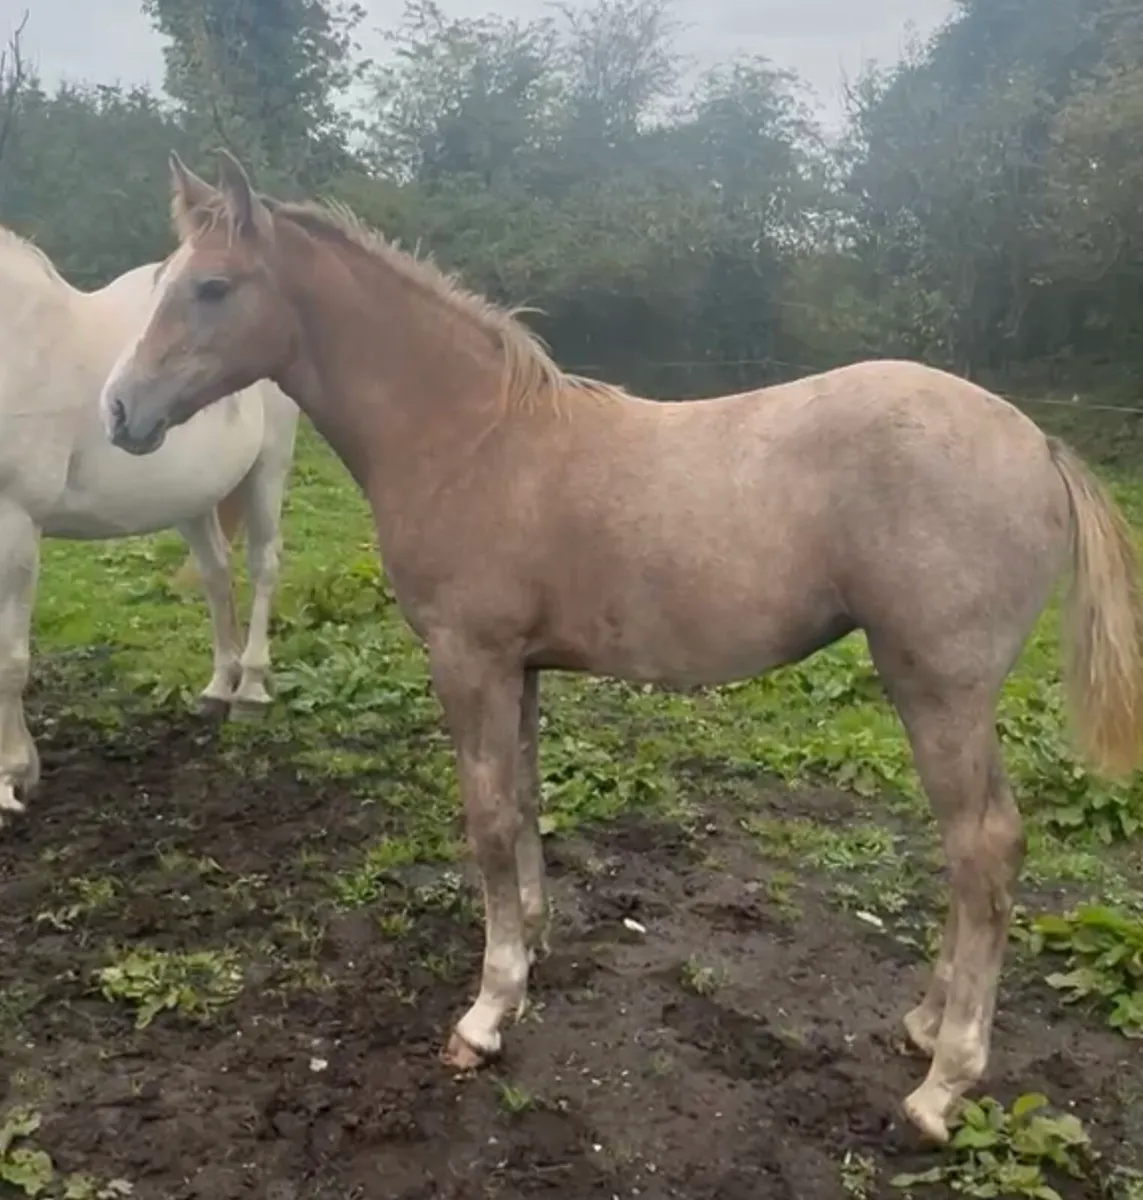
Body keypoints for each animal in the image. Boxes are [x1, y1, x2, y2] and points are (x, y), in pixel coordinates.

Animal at [0, 220, 300, 826]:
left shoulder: (16, 523)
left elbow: (8, 659)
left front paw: (12, 776)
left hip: (269, 469)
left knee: (263, 566)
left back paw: (251, 691)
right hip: (193, 499)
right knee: (215, 574)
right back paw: (219, 687)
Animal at [99, 150, 1143, 1145]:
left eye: (213, 287)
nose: (118, 412)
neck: (471, 438)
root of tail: (1036, 443)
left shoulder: (468, 661)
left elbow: (486, 820)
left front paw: (487, 1012)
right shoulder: (517, 669)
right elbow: (523, 806)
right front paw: (530, 947)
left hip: (938, 691)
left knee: (984, 847)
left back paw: (943, 1081)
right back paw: (926, 1025)